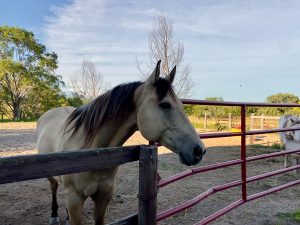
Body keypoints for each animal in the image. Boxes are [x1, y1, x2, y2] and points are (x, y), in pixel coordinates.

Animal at [37, 59, 206, 225]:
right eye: (164, 104)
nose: (199, 150)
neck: (92, 153)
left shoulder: (104, 197)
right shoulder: (74, 198)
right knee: (53, 186)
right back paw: (54, 215)